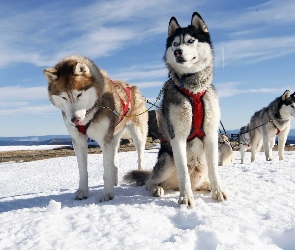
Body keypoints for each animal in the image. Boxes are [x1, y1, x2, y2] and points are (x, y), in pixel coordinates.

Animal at [43, 55, 148, 202]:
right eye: (63, 97)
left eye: (79, 94)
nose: (75, 120)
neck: (90, 111)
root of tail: (131, 86)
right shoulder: (78, 140)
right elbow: (83, 171)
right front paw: (82, 191)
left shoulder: (105, 139)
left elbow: (106, 170)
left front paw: (108, 193)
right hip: (114, 135)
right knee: (115, 158)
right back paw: (115, 180)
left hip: (137, 133)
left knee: (140, 156)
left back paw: (139, 176)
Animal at [123, 12, 228, 207]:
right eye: (175, 43)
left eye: (191, 40)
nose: (177, 52)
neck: (193, 90)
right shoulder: (177, 137)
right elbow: (183, 172)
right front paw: (185, 198)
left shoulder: (210, 135)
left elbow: (215, 170)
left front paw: (218, 191)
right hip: (166, 158)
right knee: (151, 181)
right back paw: (157, 189)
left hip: (200, 165)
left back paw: (207, 186)